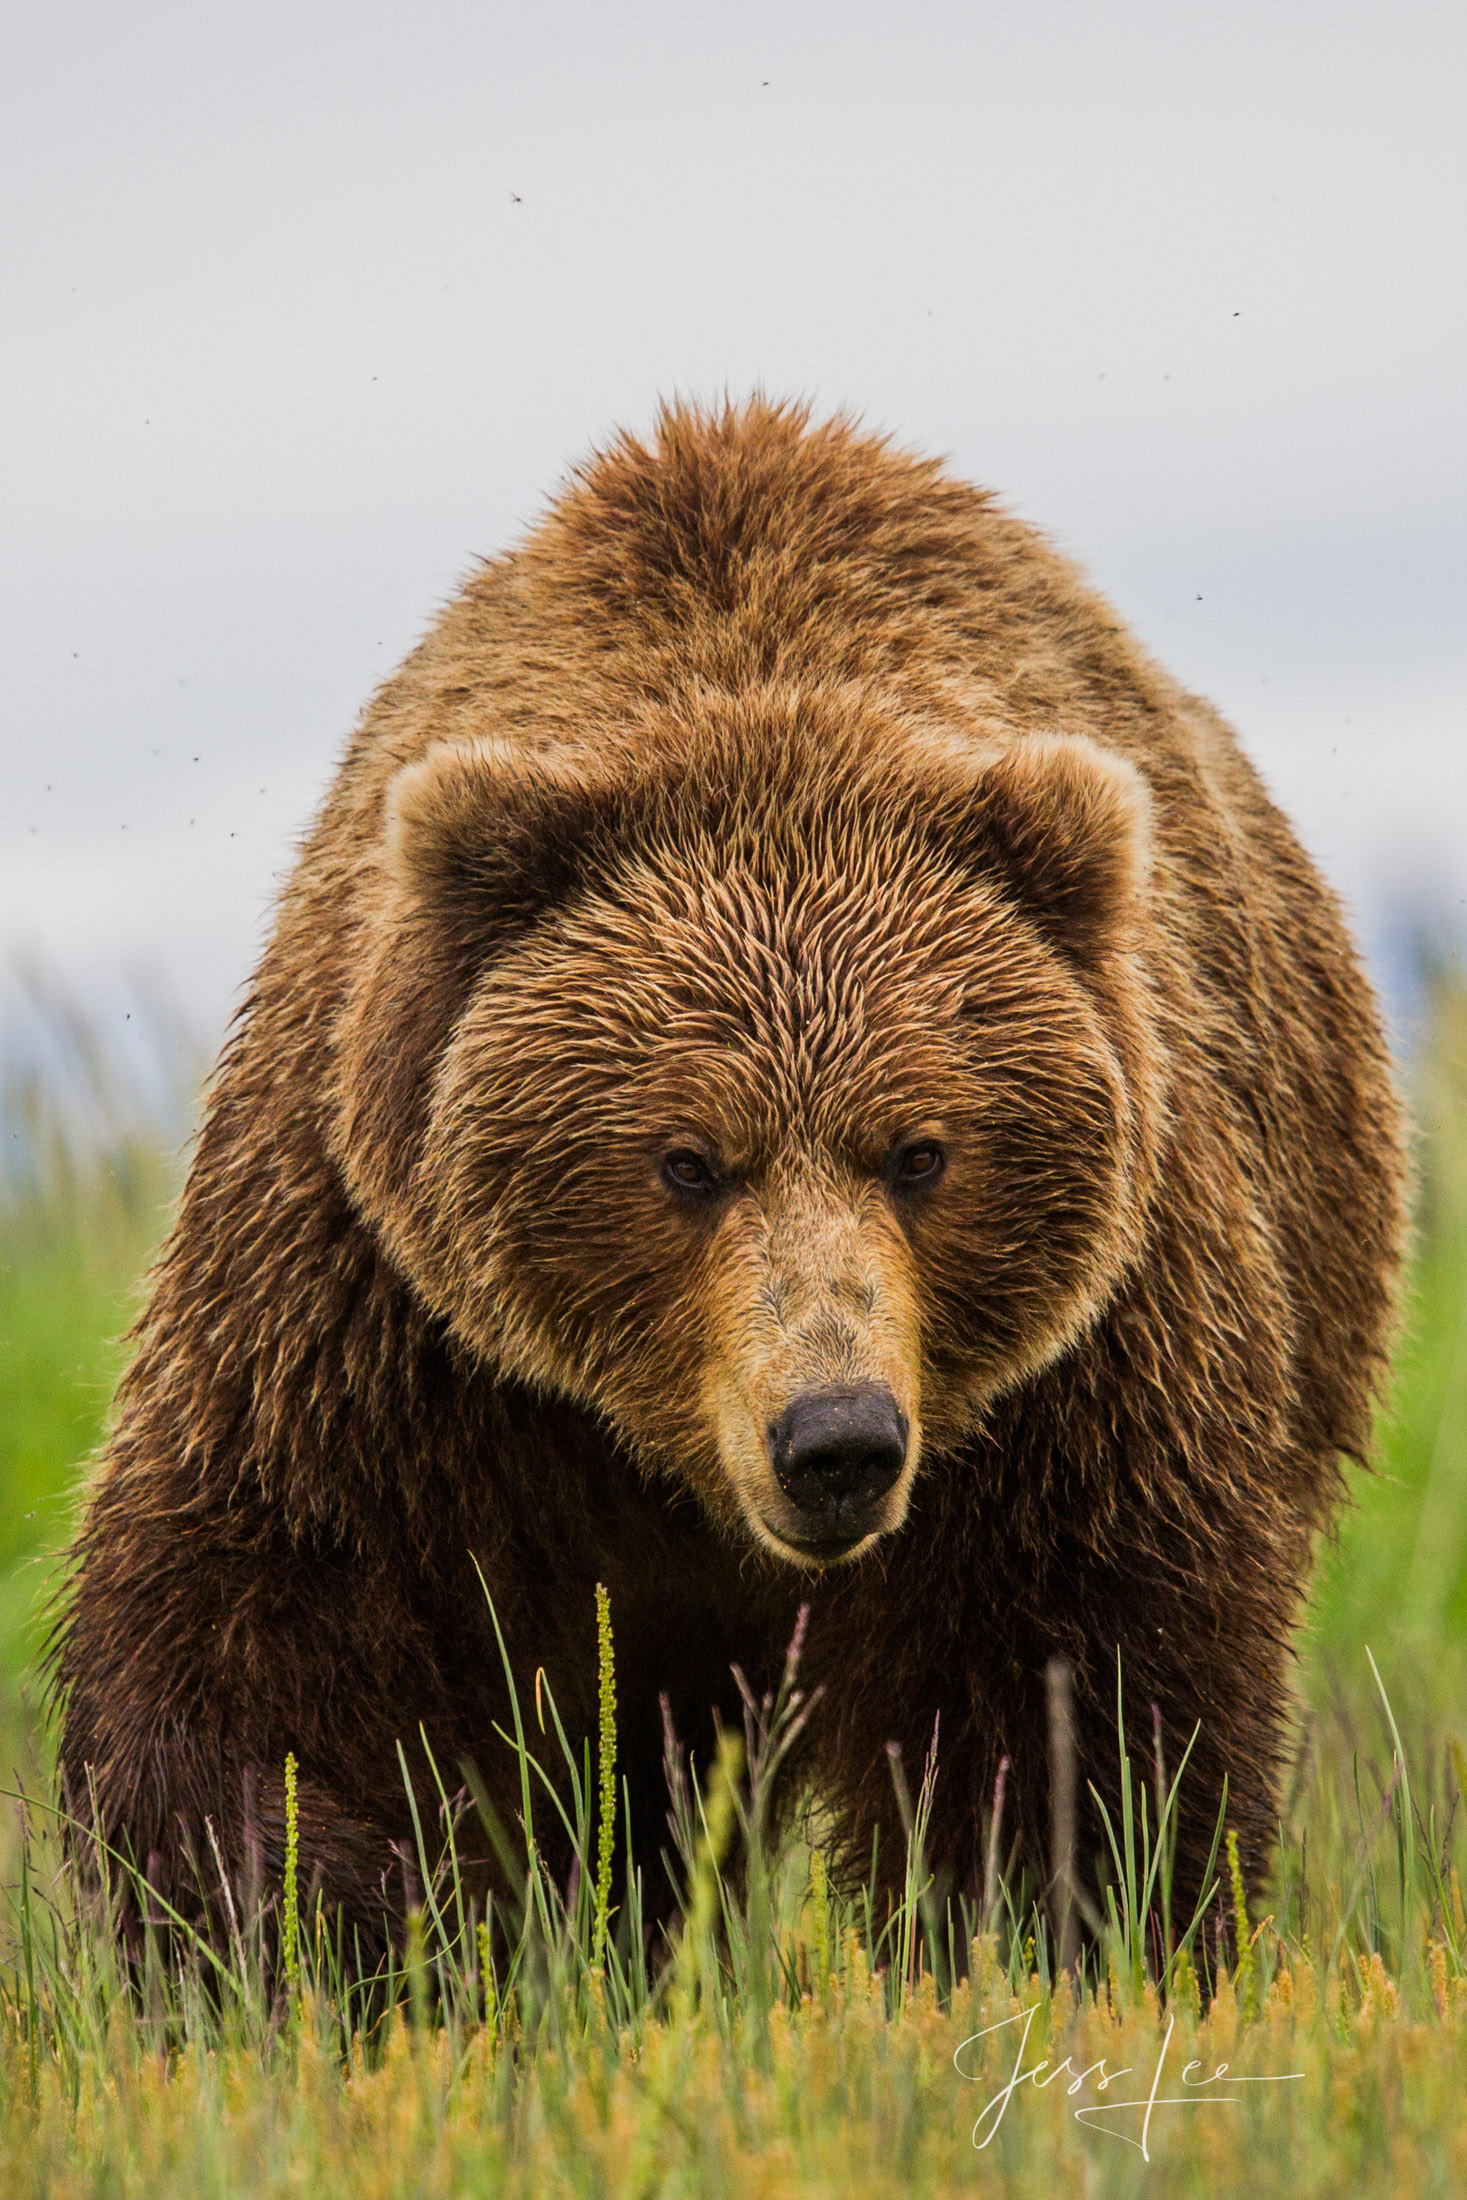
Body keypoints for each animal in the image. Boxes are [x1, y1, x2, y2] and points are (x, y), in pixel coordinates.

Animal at [60, 396, 1407, 1962]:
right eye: (684, 1159)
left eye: (921, 1150)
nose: (835, 1436)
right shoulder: (380, 1296)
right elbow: (278, 1604)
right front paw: (318, 1931)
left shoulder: (1092, 1344)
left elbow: (1071, 1684)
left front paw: (1050, 1933)